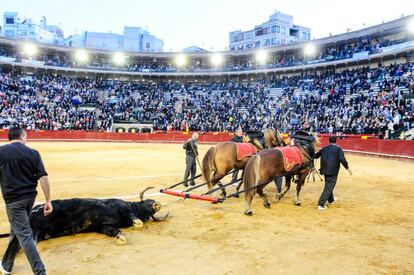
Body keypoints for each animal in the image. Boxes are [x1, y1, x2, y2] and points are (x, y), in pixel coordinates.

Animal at [0, 188, 168, 246]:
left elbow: (114, 231)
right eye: (147, 202)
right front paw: (137, 222)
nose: (157, 204)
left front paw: (120, 238)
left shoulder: (104, 227)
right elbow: (135, 219)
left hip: (40, 233)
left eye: (152, 214)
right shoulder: (121, 206)